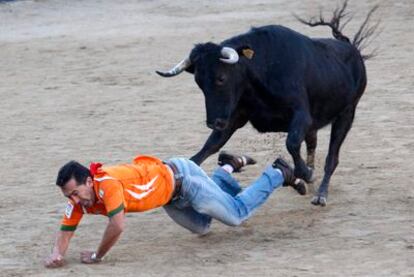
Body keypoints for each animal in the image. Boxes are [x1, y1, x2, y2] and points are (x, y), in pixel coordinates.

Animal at [157, 8, 376, 205]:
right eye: (198, 82)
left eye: (221, 78)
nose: (214, 122)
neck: (263, 68)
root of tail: (350, 48)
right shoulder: (235, 117)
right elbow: (208, 147)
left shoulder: (301, 116)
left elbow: (291, 143)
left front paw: (305, 174)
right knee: (312, 145)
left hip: (347, 113)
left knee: (332, 157)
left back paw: (320, 194)